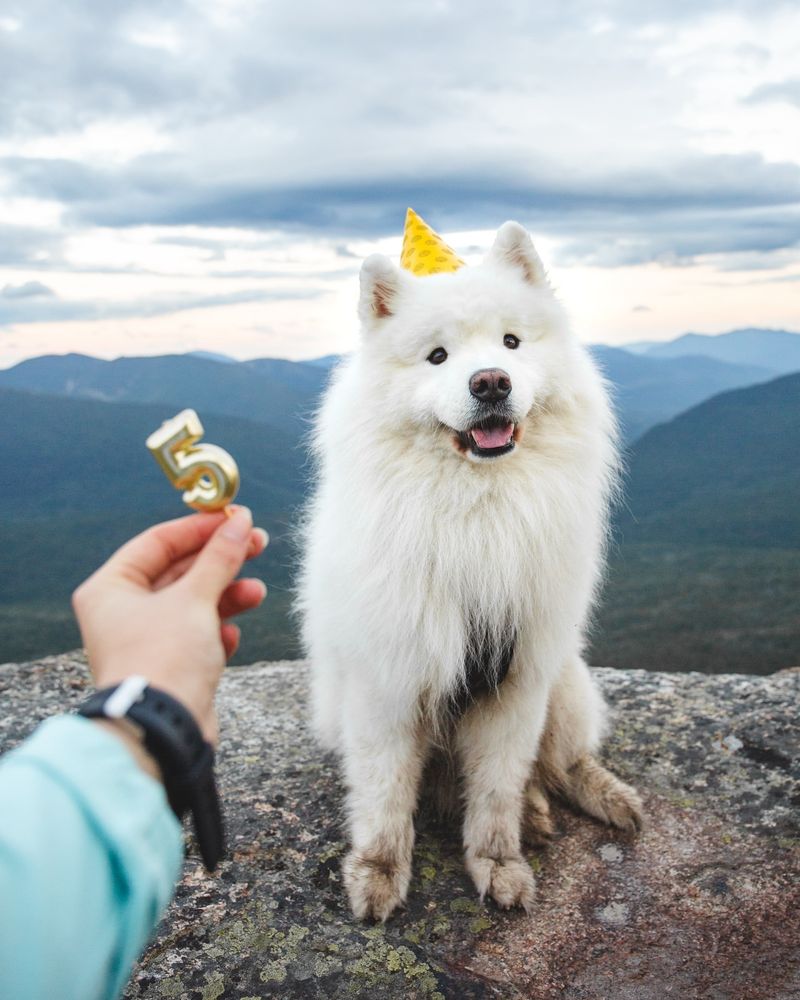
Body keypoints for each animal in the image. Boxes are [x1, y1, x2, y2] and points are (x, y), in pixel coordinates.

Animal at [300, 221, 644, 920]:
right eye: (437, 356)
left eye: (511, 342)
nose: (490, 382)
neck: (477, 515)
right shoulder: (388, 684)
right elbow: (384, 798)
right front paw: (378, 876)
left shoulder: (518, 680)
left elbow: (496, 792)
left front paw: (499, 864)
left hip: (564, 680)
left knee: (563, 764)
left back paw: (594, 800)